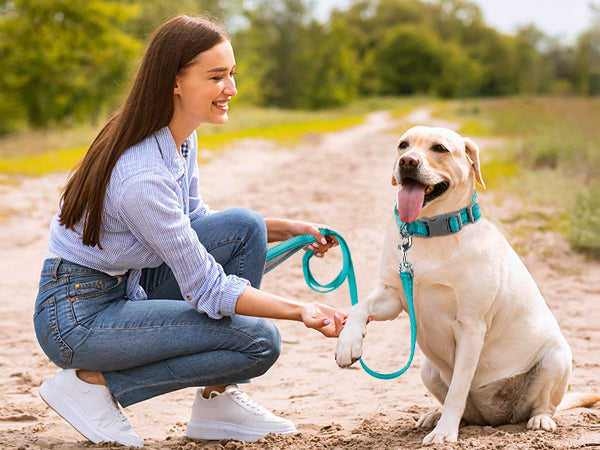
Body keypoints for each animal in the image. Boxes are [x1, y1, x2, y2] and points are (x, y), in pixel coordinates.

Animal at [336, 125, 596, 444]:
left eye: (439, 148)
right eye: (403, 145)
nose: (407, 161)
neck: (430, 230)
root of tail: (497, 417)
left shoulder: (471, 327)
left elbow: (458, 389)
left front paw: (444, 434)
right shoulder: (392, 296)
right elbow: (359, 306)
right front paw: (348, 343)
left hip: (557, 357)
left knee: (544, 405)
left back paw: (539, 420)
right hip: (428, 369)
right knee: (465, 411)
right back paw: (435, 416)